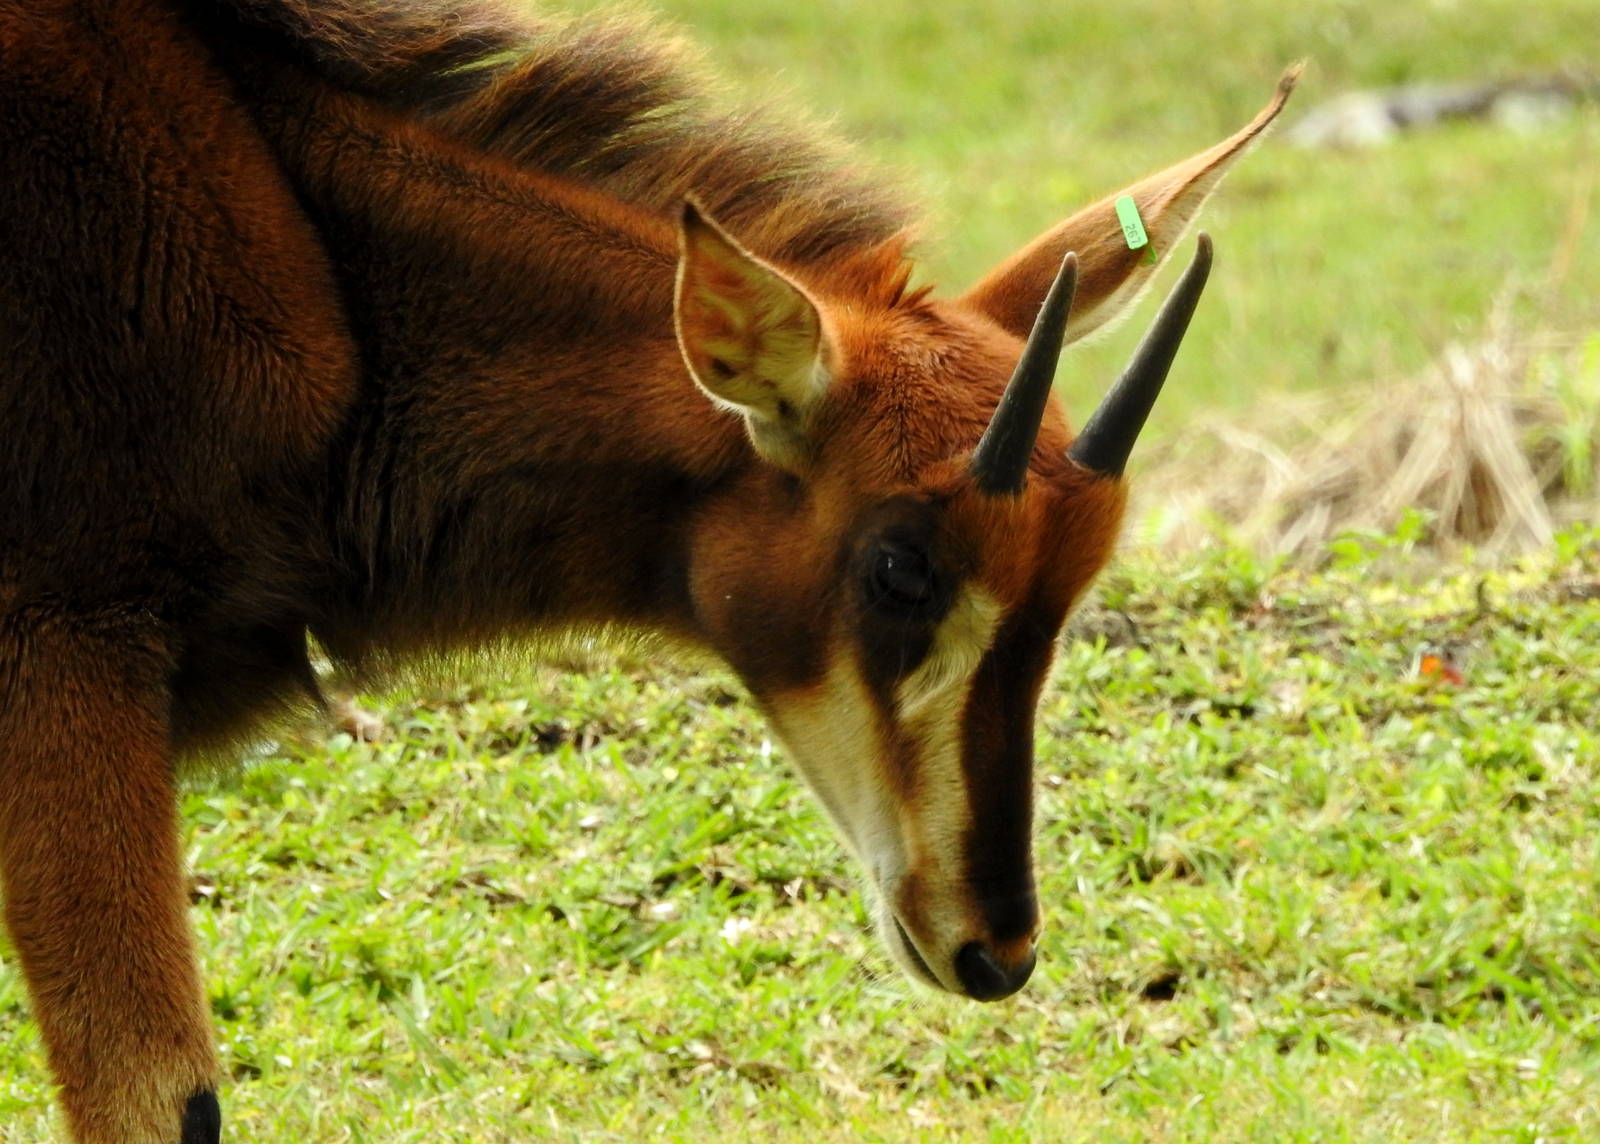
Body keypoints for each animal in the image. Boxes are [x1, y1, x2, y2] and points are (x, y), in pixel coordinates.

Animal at [0, 0, 1295, 1139]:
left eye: (1069, 586)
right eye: (899, 568)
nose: (995, 947)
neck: (306, 229)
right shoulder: (67, 650)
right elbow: (165, 1103)